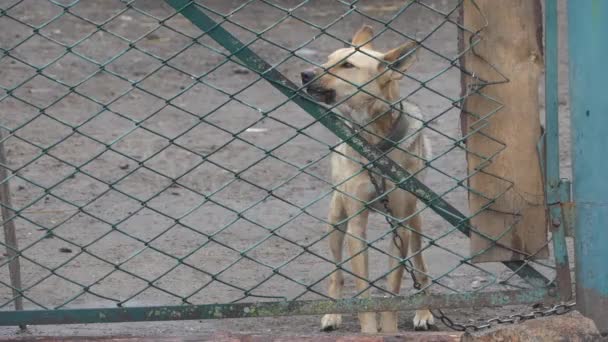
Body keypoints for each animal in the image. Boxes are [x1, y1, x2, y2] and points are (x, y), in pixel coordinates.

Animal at [302, 24, 434, 334]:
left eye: (347, 66)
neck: (375, 144)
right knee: (336, 273)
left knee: (421, 267)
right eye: (327, 59)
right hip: (336, 220)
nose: (305, 74)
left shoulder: (401, 225)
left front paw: (390, 329)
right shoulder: (355, 227)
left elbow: (394, 285)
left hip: (416, 221)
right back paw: (332, 314)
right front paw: (370, 331)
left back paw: (423, 311)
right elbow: (362, 288)